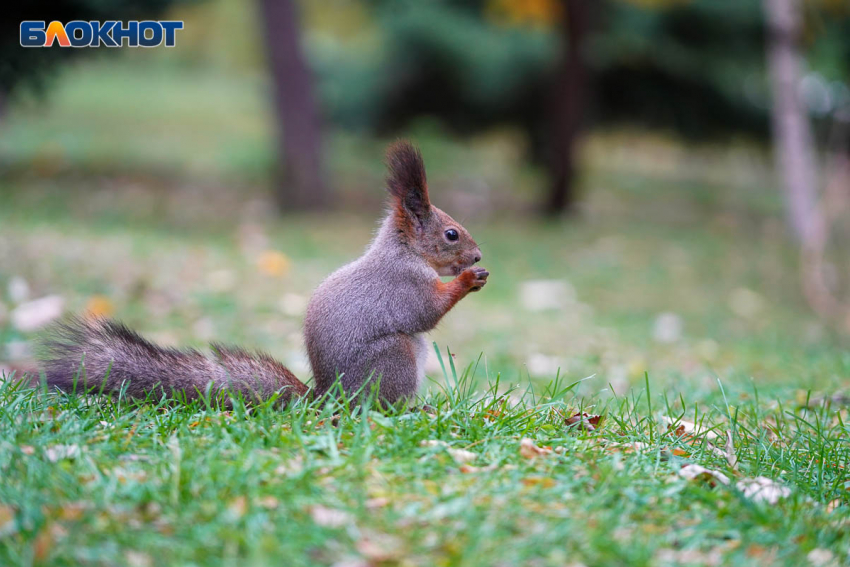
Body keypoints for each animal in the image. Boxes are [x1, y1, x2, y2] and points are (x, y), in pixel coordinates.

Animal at [39, 142, 486, 408]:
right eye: (451, 234)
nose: (478, 254)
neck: (403, 251)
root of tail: (327, 399)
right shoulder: (403, 284)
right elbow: (427, 310)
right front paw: (469, 280)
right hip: (395, 357)